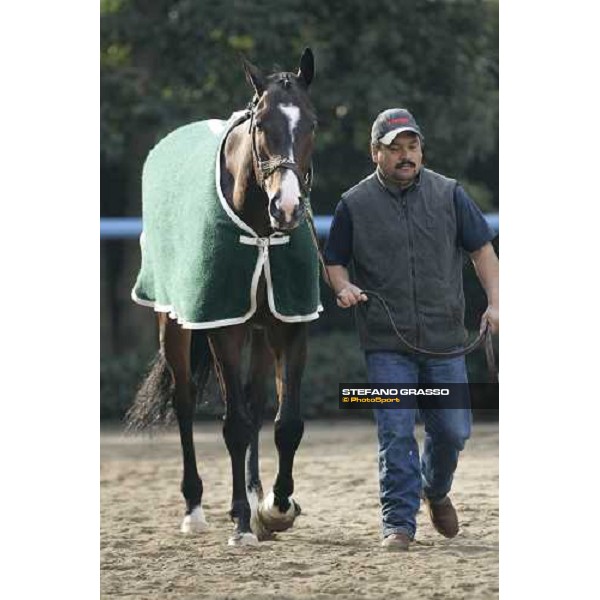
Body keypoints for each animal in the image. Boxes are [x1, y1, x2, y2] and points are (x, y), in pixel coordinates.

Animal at [126, 49, 322, 548]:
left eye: (312, 122)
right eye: (262, 125)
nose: (287, 208)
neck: (260, 232)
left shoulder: (289, 326)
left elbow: (286, 425)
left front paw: (276, 508)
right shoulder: (223, 327)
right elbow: (233, 425)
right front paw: (240, 524)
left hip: (257, 329)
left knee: (253, 403)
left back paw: (254, 498)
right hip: (175, 325)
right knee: (186, 401)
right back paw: (195, 509)